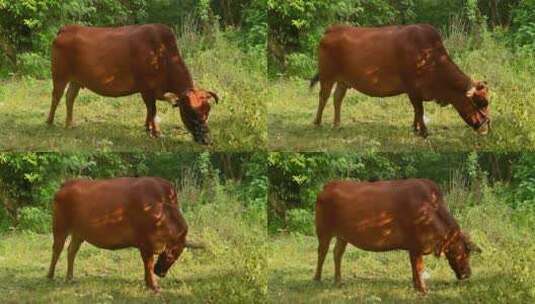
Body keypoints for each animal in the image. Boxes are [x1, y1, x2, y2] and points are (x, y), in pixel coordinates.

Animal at [45, 177, 191, 290]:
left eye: (177, 255)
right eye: (171, 254)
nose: (161, 273)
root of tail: (68, 183)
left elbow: (147, 265)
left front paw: (149, 283)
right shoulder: (145, 243)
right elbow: (148, 264)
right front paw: (154, 286)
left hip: (78, 233)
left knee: (71, 251)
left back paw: (70, 277)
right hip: (59, 227)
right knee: (57, 249)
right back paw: (50, 276)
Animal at [47, 23, 220, 145]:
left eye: (208, 110)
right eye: (190, 112)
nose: (207, 140)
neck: (162, 54)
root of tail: (68, 28)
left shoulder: (153, 91)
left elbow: (150, 110)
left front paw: (148, 128)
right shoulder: (146, 88)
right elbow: (152, 110)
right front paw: (155, 132)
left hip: (76, 80)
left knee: (70, 98)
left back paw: (70, 124)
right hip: (59, 75)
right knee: (56, 97)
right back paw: (49, 122)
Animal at [310, 25, 490, 137]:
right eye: (481, 103)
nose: (486, 127)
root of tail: (334, 28)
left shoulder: (416, 92)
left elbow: (417, 111)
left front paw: (416, 128)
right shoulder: (413, 89)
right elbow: (420, 110)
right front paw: (424, 131)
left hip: (343, 81)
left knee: (337, 98)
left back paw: (337, 124)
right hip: (327, 76)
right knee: (323, 97)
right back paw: (317, 123)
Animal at [314, 179, 482, 294]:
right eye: (464, 252)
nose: (468, 274)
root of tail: (329, 185)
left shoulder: (413, 248)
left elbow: (415, 268)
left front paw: (416, 287)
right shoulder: (416, 246)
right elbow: (419, 267)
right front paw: (423, 290)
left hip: (343, 235)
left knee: (337, 253)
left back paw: (338, 280)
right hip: (323, 230)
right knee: (322, 252)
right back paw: (317, 279)